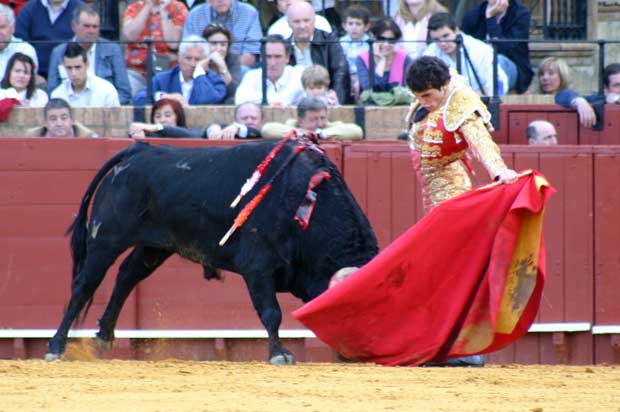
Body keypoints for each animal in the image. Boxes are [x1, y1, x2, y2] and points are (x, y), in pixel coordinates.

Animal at [44, 141, 378, 364]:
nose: (362, 352)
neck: (305, 202)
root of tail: (139, 149)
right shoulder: (257, 267)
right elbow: (271, 312)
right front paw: (279, 354)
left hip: (154, 247)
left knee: (127, 276)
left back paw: (104, 336)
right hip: (106, 240)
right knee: (84, 285)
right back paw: (56, 347)